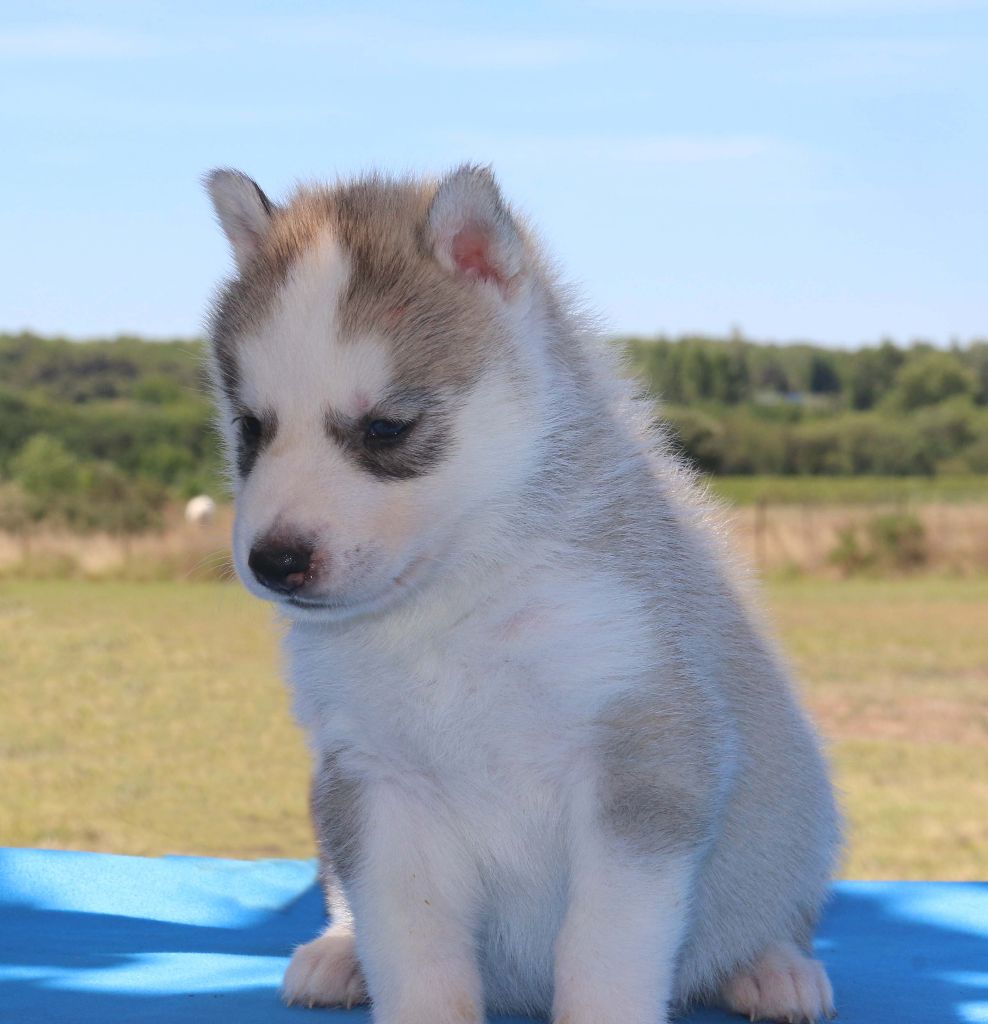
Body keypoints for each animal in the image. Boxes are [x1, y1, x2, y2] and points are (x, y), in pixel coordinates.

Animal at [204, 164, 840, 1024]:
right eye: (250, 428)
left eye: (386, 429)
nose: (275, 560)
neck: (450, 608)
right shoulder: (375, 781)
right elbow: (411, 947)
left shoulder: (642, 759)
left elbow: (603, 949)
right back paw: (337, 955)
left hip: (800, 819)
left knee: (777, 911)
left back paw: (772, 967)